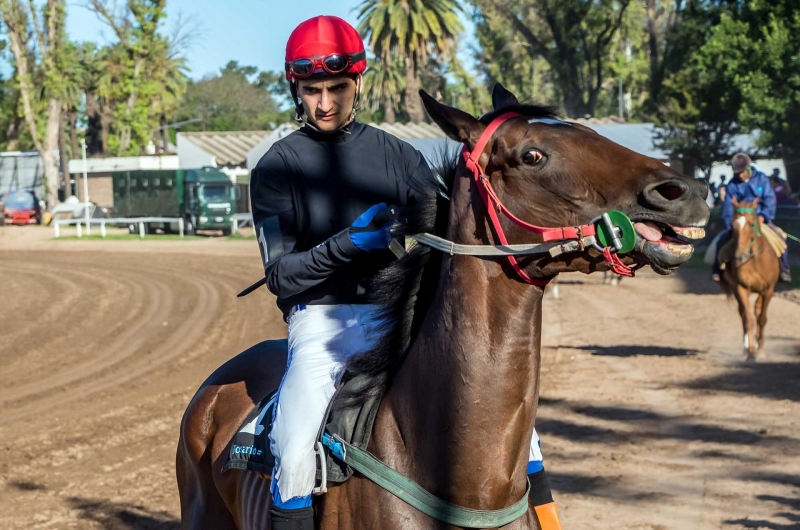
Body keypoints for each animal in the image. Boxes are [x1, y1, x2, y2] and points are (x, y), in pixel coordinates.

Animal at [720, 196, 780, 360]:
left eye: (752, 224)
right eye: (733, 225)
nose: (739, 256)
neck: (755, 261)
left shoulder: (768, 290)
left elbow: (762, 318)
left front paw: (760, 350)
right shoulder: (741, 288)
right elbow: (748, 319)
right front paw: (751, 352)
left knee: (758, 311)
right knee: (743, 314)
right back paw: (746, 347)